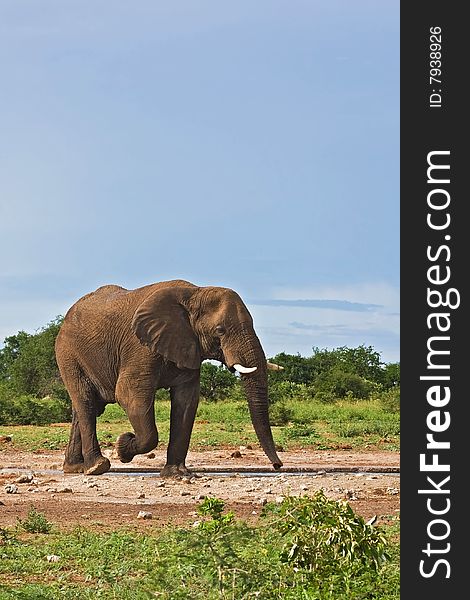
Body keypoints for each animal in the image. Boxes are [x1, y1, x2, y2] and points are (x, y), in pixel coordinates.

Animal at [55, 280, 282, 478]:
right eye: (220, 330)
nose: (277, 465)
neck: (195, 292)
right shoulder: (139, 347)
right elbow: (129, 396)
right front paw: (123, 446)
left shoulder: (189, 347)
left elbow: (186, 403)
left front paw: (178, 474)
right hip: (68, 354)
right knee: (86, 403)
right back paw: (97, 467)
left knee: (86, 407)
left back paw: (75, 468)